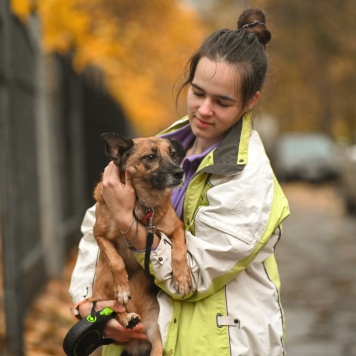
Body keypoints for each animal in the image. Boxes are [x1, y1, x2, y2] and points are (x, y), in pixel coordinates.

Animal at [90, 134, 193, 356]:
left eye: (173, 154)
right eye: (151, 157)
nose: (179, 173)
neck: (144, 206)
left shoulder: (176, 229)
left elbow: (179, 251)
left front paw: (181, 279)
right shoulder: (99, 235)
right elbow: (116, 260)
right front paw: (122, 289)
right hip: (103, 276)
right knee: (114, 310)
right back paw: (127, 317)